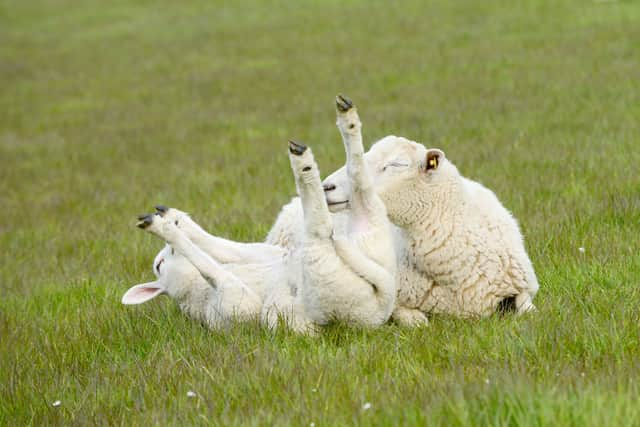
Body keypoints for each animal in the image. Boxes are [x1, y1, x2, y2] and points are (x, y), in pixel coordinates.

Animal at [288, 96, 398, 328]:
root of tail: (382, 306)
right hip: (369, 224)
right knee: (358, 182)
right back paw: (346, 116)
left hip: (324, 269)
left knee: (322, 223)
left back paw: (303, 159)